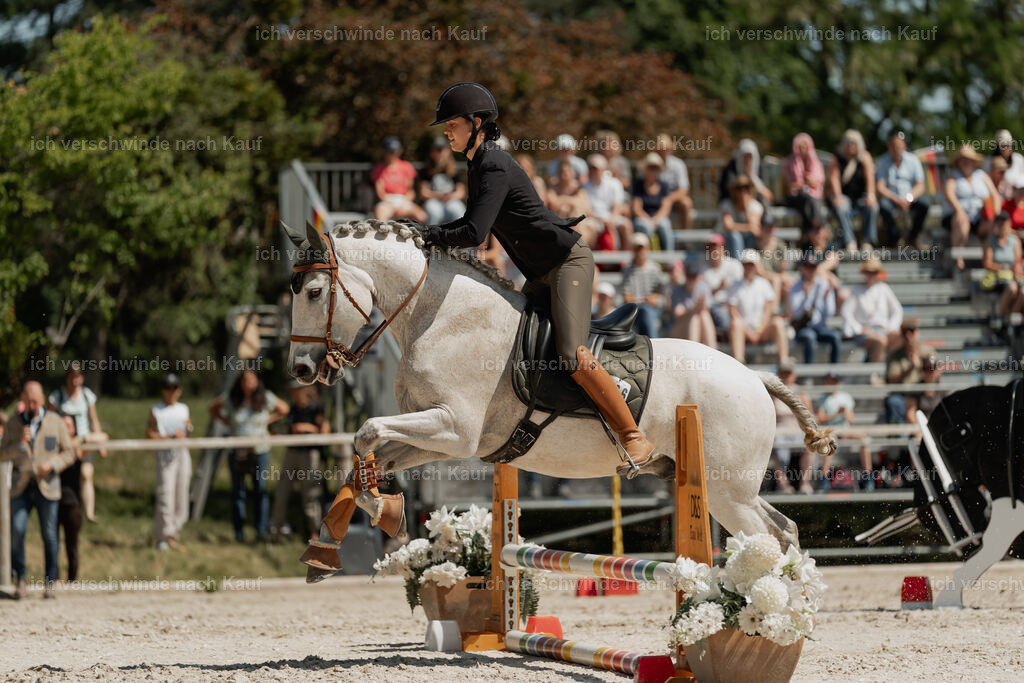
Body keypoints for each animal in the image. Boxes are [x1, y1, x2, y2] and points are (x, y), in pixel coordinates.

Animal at [282, 218, 836, 560]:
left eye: (313, 292)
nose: (302, 371)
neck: (438, 315)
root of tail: (754, 377)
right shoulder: (435, 439)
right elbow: (367, 456)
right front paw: (369, 519)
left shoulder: (453, 429)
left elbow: (365, 431)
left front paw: (380, 511)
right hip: (730, 487)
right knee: (783, 530)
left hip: (725, 490)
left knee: (766, 538)